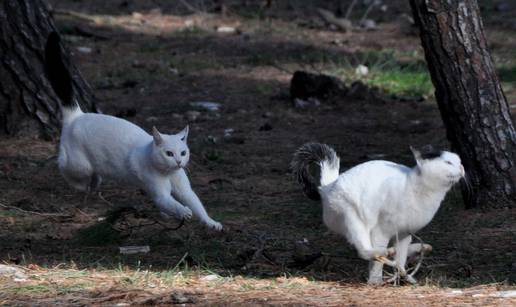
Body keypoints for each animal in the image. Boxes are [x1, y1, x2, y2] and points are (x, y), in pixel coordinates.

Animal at [44, 33, 222, 231]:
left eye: (183, 153)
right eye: (169, 153)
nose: (178, 161)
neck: (168, 172)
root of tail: (77, 115)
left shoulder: (186, 191)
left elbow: (198, 205)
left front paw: (212, 223)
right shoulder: (160, 196)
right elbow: (172, 204)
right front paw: (183, 212)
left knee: (92, 176)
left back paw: (95, 182)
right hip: (78, 165)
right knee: (63, 166)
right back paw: (82, 184)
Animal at [292, 143, 466, 286]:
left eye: (459, 161)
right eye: (448, 163)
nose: (462, 168)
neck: (420, 190)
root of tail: (327, 187)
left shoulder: (405, 233)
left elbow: (401, 259)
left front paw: (402, 276)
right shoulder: (381, 230)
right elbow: (377, 263)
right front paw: (375, 280)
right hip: (352, 217)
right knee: (364, 250)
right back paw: (384, 253)